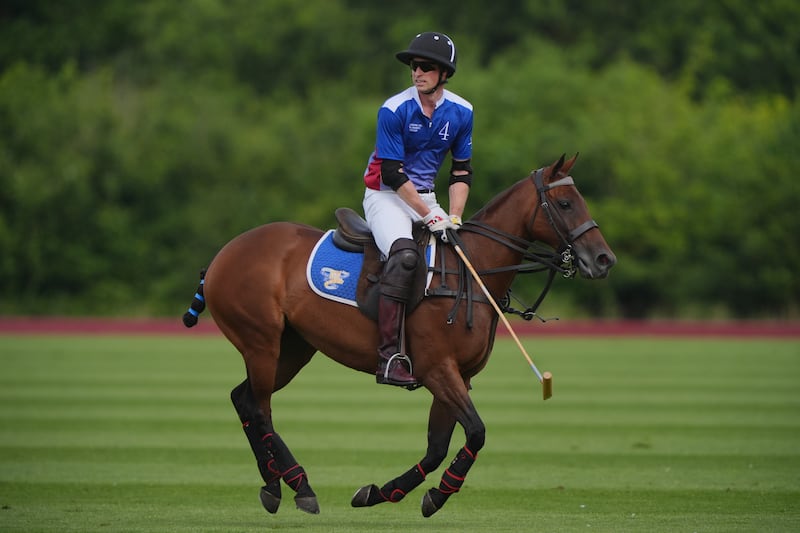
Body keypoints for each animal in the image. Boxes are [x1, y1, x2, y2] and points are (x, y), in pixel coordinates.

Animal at [183, 153, 620, 516]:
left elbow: (438, 447)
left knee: (244, 399)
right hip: (260, 339)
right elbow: (476, 432)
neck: (469, 273)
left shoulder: (458, 376)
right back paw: (293, 486)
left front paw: (384, 493)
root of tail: (222, 255)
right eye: (565, 204)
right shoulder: (437, 369)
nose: (604, 260)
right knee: (259, 408)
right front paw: (435, 495)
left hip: (293, 347)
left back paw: (281, 484)